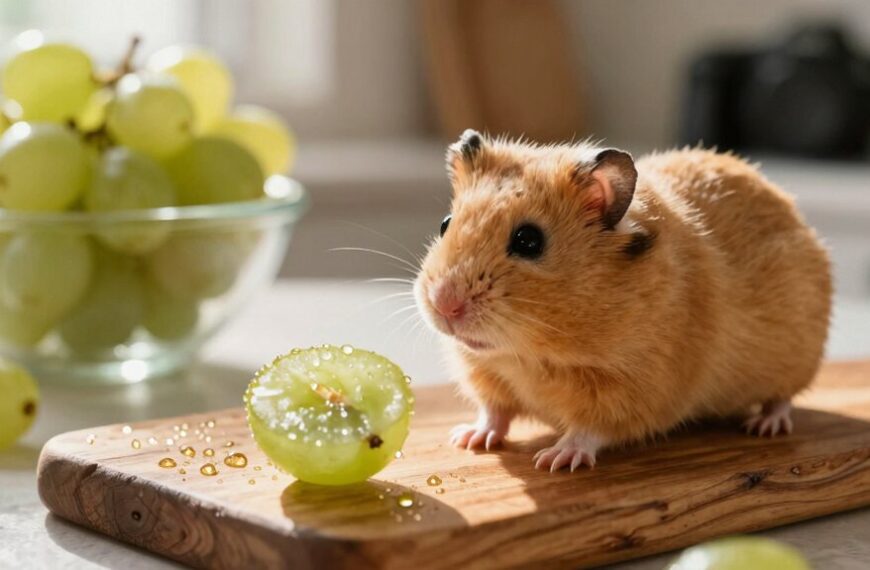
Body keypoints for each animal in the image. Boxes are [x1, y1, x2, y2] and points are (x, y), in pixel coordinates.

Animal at [414, 129, 832, 472]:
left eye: (528, 241)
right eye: (445, 224)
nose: (444, 305)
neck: (530, 356)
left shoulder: (631, 392)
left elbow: (589, 429)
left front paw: (554, 459)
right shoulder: (487, 374)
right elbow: (493, 412)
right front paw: (468, 439)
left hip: (796, 362)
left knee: (782, 398)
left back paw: (765, 425)